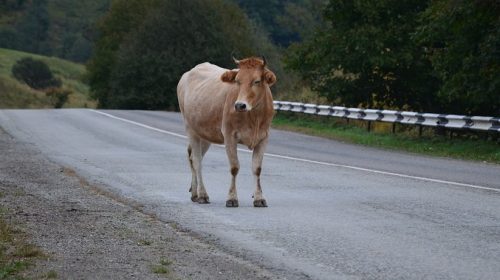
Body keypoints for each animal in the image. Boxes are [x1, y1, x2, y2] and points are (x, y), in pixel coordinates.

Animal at [177, 55, 278, 207]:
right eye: (237, 81)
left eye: (257, 81)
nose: (240, 105)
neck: (254, 117)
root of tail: (188, 73)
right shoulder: (229, 135)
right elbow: (234, 167)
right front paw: (232, 198)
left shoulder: (263, 138)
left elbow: (257, 169)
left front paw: (259, 198)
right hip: (190, 128)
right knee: (197, 161)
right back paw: (202, 195)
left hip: (205, 133)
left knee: (194, 157)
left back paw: (194, 193)